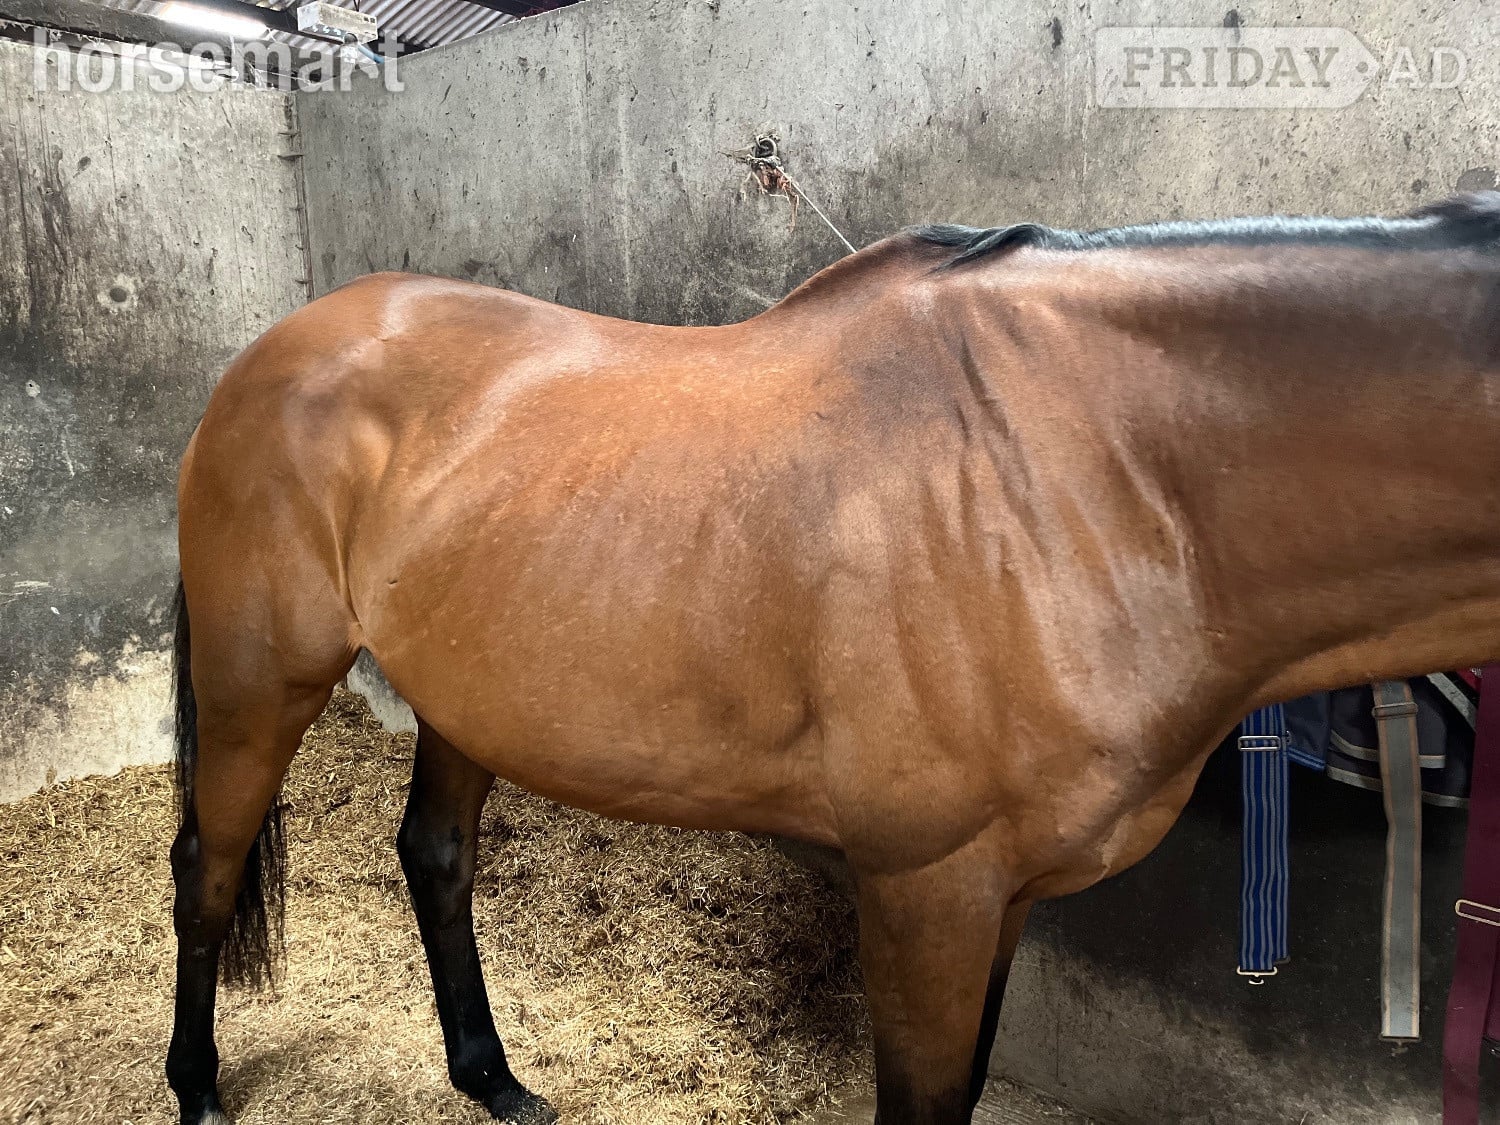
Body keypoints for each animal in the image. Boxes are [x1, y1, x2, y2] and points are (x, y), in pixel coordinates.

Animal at [166, 192, 1500, 1125]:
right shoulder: (927, 889)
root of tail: (283, 346)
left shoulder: (1001, 900)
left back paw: (494, 1080)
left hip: (468, 687)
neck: (1093, 470)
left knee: (436, 859)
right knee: (207, 872)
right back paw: (198, 1087)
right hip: (257, 682)